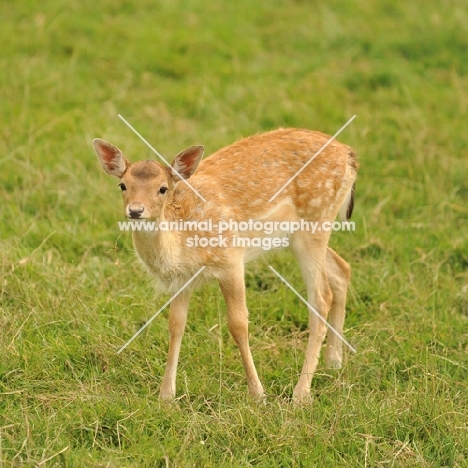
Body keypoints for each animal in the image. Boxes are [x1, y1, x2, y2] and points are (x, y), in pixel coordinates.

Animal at [94, 128, 358, 402]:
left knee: (321, 298)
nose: (135, 210)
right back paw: (334, 361)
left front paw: (258, 394)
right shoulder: (181, 278)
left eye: (163, 188)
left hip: (316, 220)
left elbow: (238, 324)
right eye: (123, 185)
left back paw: (301, 393)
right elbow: (176, 325)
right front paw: (166, 396)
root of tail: (349, 154)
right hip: (298, 235)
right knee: (342, 270)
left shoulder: (231, 260)